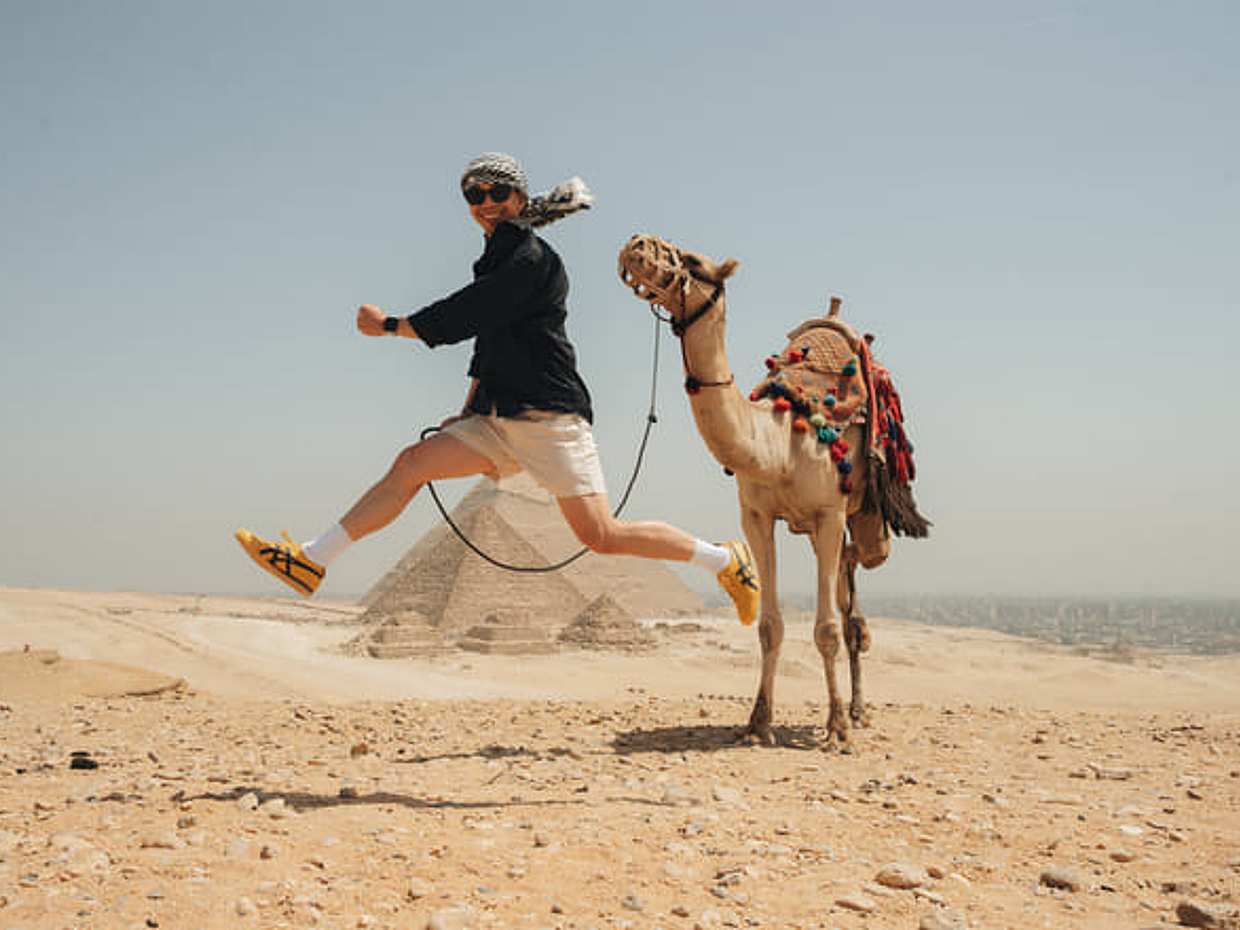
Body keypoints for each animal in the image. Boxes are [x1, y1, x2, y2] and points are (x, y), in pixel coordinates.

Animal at [617, 234, 929, 746]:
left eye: (694, 262)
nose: (635, 245)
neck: (775, 443)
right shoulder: (757, 516)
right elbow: (769, 626)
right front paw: (757, 723)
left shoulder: (828, 513)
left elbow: (824, 630)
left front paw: (837, 729)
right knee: (848, 594)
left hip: (867, 520)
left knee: (855, 589)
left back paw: (857, 710)